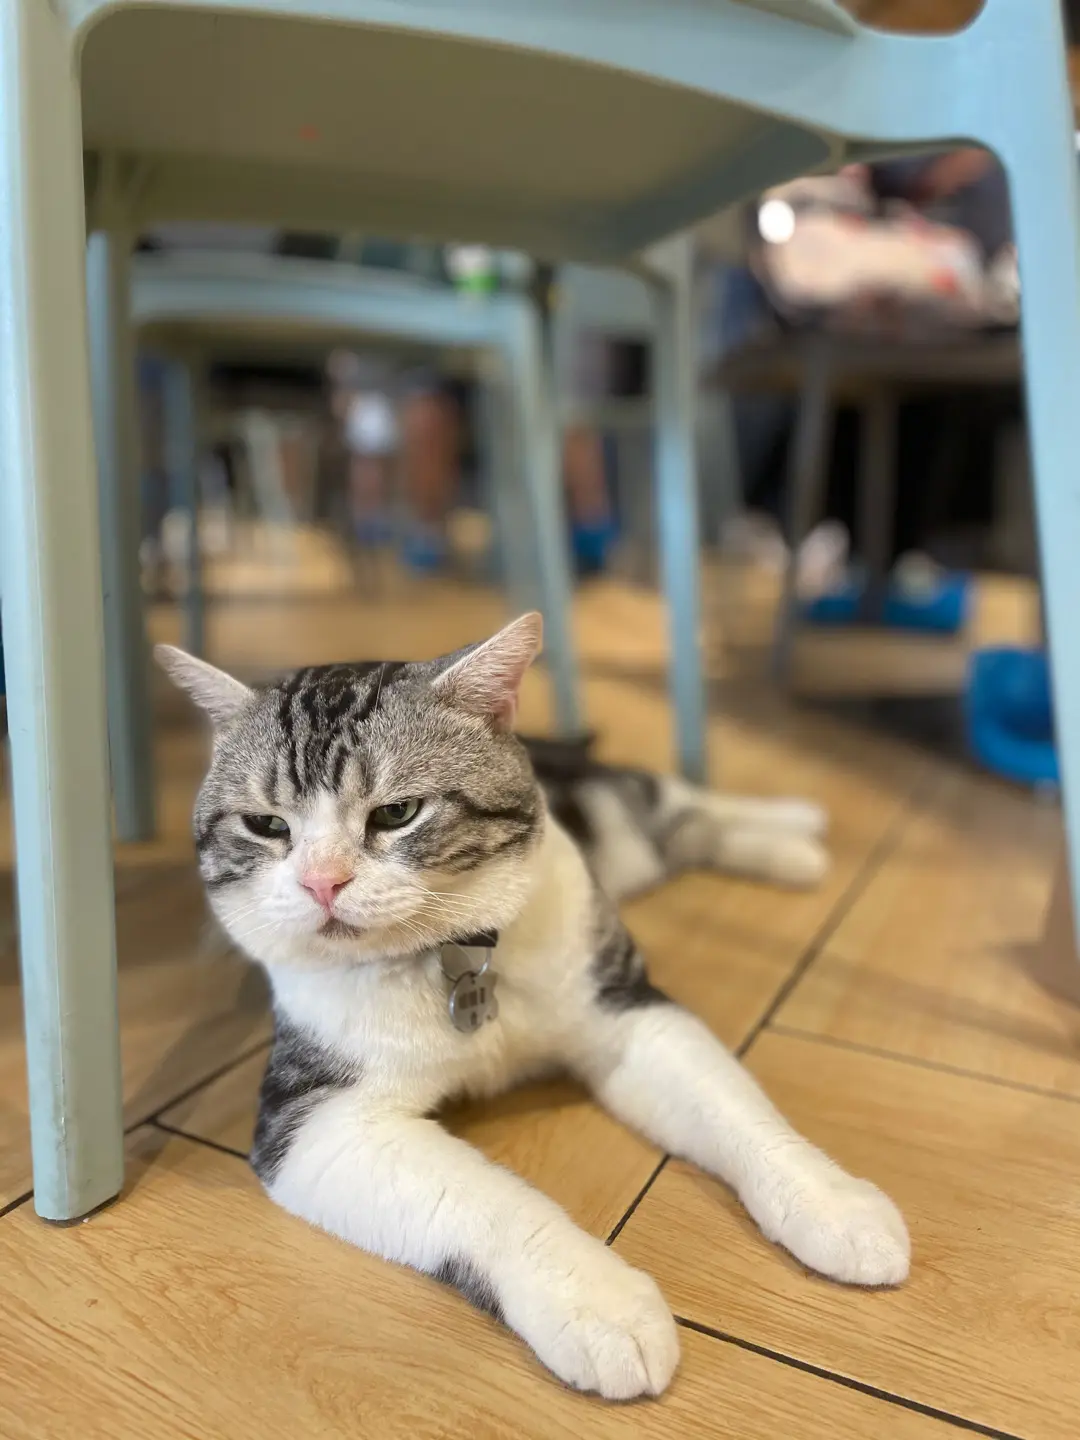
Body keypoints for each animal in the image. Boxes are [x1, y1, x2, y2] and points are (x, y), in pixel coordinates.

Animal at [157, 613, 909, 1401]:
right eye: (266, 826)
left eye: (397, 813)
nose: (321, 883)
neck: (455, 959)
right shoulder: (315, 1121)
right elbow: (486, 1202)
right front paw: (599, 1303)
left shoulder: (624, 1009)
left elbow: (738, 1112)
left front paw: (833, 1203)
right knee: (681, 831)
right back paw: (790, 849)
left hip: (621, 819)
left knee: (676, 801)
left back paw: (794, 828)